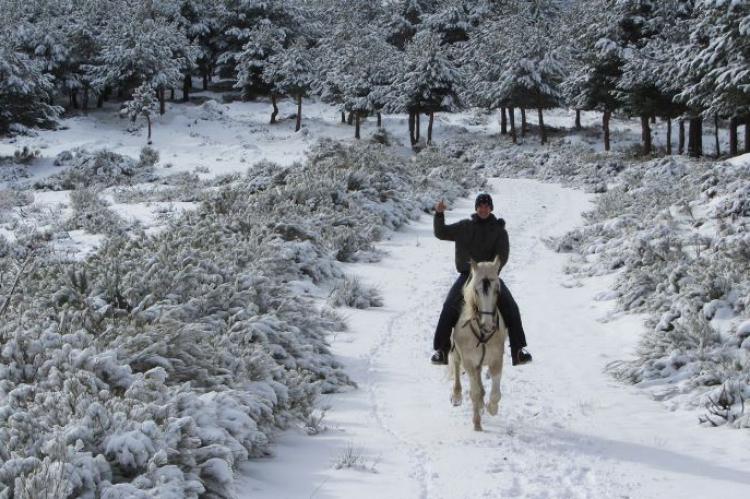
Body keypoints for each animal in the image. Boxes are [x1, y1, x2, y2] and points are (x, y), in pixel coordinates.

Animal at [450, 256, 508, 432]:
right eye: (476, 290)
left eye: (497, 290)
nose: (488, 325)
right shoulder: (469, 362)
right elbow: (474, 393)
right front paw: (477, 424)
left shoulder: (496, 360)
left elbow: (495, 394)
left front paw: (491, 408)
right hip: (457, 354)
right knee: (456, 365)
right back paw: (457, 396)